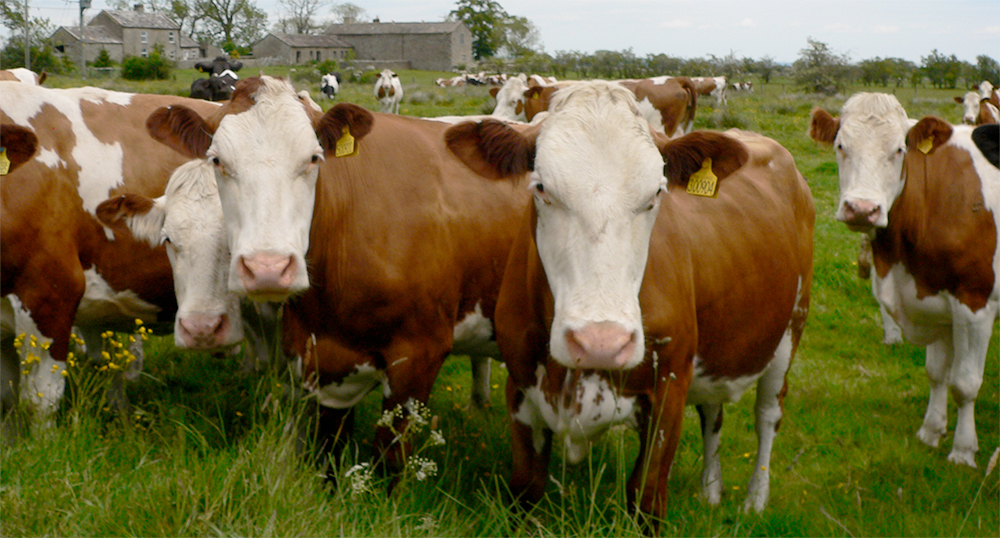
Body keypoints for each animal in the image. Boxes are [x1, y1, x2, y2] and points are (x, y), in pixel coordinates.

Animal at [143, 74, 532, 474]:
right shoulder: (323, 363)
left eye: (314, 158)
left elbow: (389, 460)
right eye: (217, 160)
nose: (268, 270)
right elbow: (327, 452)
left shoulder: (419, 356)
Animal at [444, 81, 812, 524]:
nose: (600, 342)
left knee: (767, 416)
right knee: (712, 412)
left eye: (656, 192)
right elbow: (526, 491)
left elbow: (646, 496)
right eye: (541, 187)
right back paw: (710, 489)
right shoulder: (520, 387)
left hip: (790, 328)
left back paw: (756, 498)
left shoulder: (669, 391)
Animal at [808, 94, 996, 466]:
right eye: (840, 145)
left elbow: (965, 382)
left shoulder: (975, 302)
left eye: (899, 150)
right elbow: (937, 372)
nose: (862, 209)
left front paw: (963, 451)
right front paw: (931, 431)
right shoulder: (934, 296)